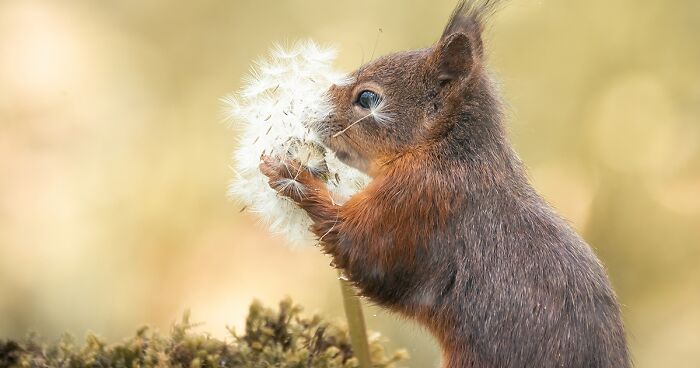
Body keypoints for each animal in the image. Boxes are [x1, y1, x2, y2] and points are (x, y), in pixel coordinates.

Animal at [258, 1, 628, 366]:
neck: (447, 153)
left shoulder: (415, 204)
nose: (309, 110)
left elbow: (359, 248)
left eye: (367, 99)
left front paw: (292, 174)